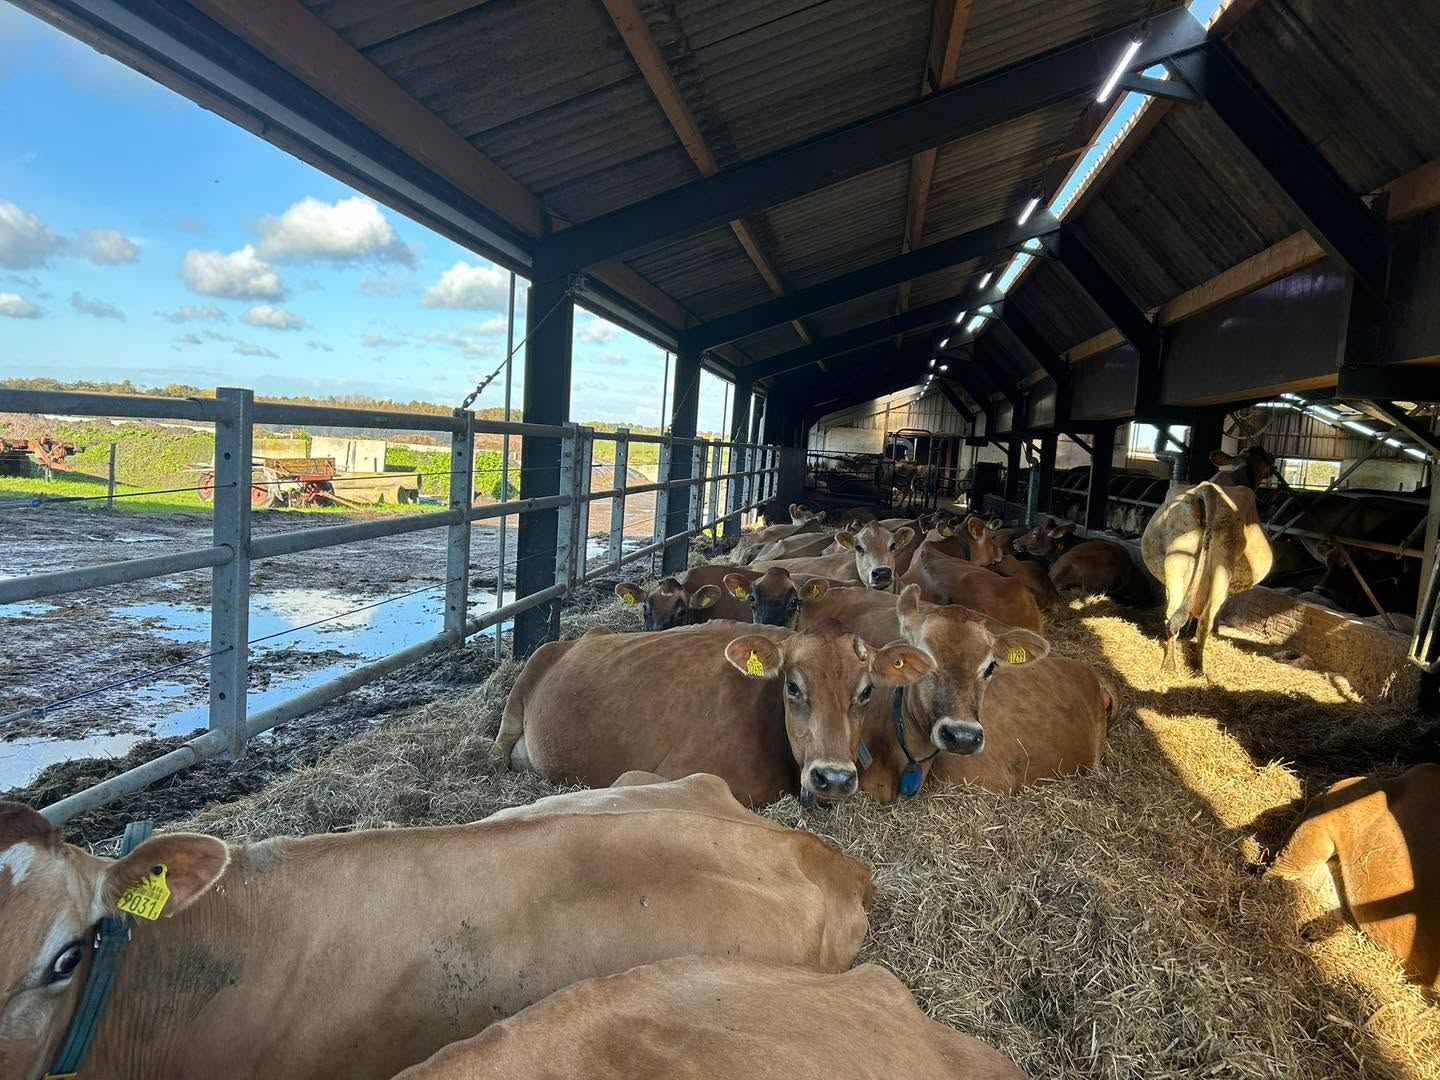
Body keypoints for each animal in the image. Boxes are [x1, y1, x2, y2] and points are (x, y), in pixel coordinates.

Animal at [1141, 447, 1275, 675]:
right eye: (1263, 456)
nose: (1274, 462)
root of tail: (1208, 490)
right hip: (1222, 567)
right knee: (1206, 619)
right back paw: (1198, 668)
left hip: (1177, 560)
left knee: (1172, 615)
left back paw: (1170, 666)